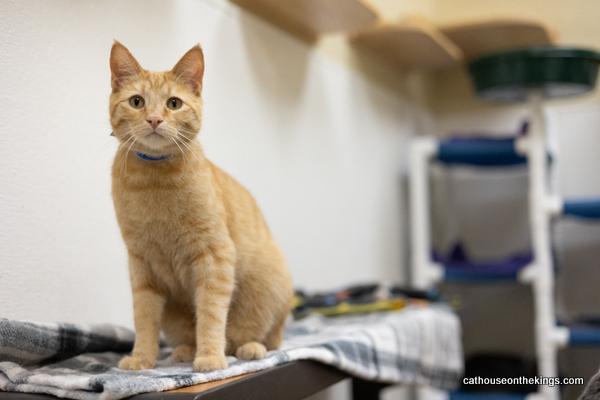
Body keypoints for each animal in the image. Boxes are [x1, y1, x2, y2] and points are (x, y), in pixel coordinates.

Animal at [109, 42, 292, 370]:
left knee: (264, 338)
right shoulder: (141, 264)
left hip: (270, 288)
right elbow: (144, 318)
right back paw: (184, 350)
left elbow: (210, 314)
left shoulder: (214, 257)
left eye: (173, 103)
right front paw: (142, 358)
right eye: (137, 101)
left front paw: (209, 357)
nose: (154, 119)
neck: (155, 181)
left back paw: (248, 348)